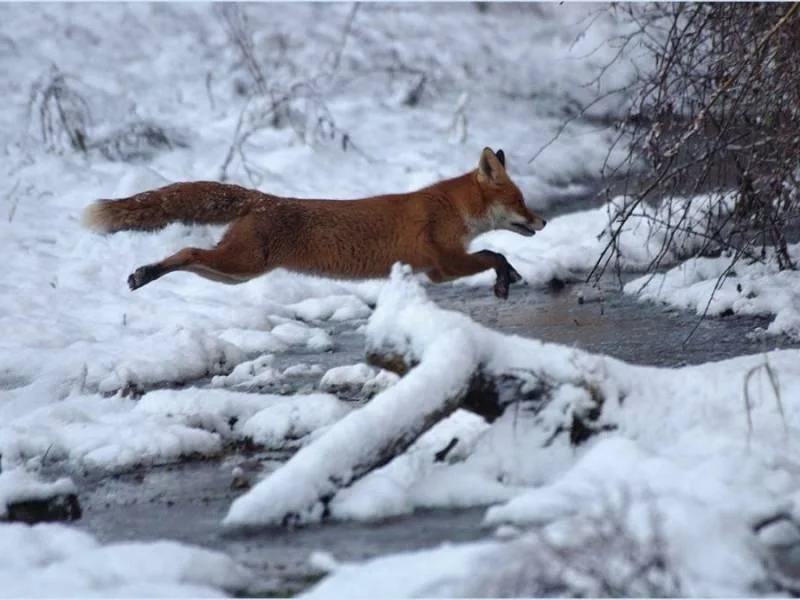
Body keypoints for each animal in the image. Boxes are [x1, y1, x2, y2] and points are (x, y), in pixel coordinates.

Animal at [84, 146, 548, 298]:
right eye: (520, 201)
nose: (543, 222)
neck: (450, 208)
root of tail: (265, 200)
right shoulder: (442, 265)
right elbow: (493, 252)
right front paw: (504, 280)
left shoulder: (443, 265)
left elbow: (493, 252)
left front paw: (508, 278)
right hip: (241, 263)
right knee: (185, 250)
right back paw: (144, 273)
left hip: (233, 273)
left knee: (190, 255)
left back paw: (145, 275)